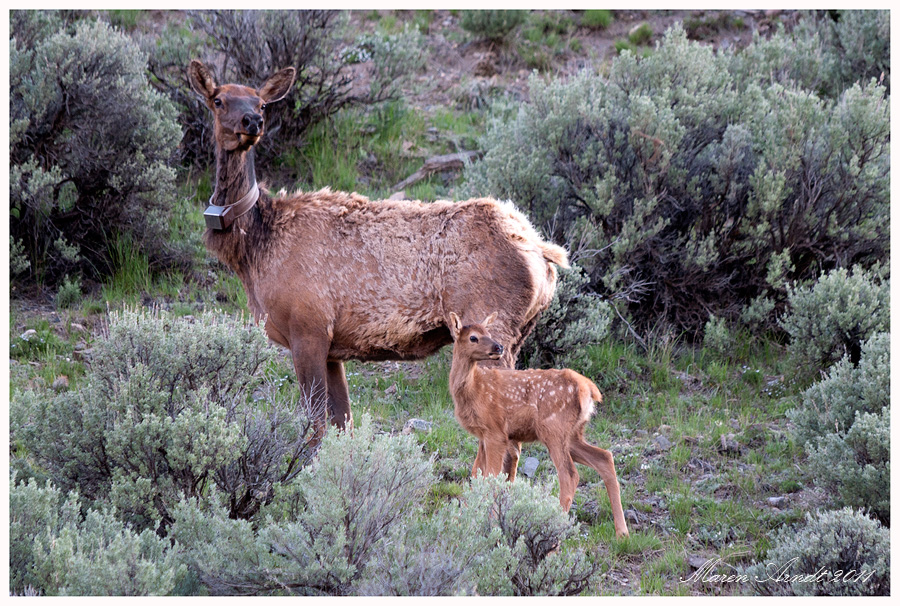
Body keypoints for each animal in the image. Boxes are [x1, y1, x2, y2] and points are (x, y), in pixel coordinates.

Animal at [188, 60, 568, 436]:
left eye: (262, 103)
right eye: (219, 100)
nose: (252, 121)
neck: (254, 249)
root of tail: (542, 253)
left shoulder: (308, 329)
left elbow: (315, 424)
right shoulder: (332, 349)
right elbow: (342, 422)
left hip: (493, 330)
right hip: (517, 333)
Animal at [446, 312, 628, 540]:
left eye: (488, 332)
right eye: (473, 337)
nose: (498, 347)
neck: (474, 390)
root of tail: (588, 389)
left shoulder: (496, 432)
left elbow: (491, 477)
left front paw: (489, 523)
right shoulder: (484, 435)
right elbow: (476, 475)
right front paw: (463, 519)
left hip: (554, 429)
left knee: (570, 475)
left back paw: (553, 527)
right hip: (572, 434)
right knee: (604, 457)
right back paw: (622, 532)